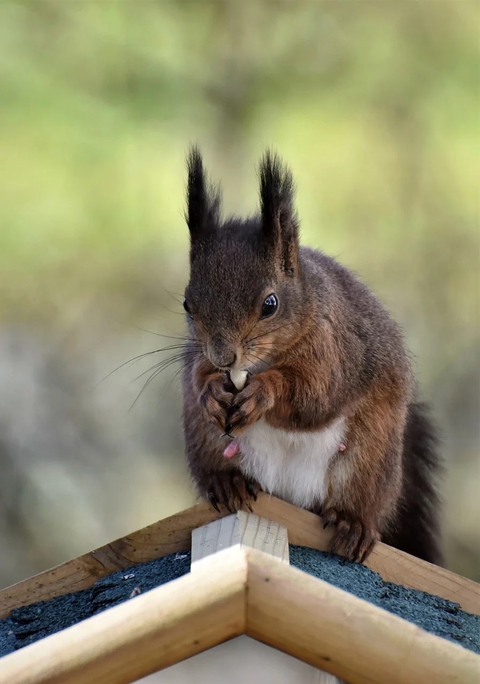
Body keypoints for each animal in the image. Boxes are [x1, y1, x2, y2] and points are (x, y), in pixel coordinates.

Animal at [181, 147, 442, 564]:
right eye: (188, 305)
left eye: (270, 304)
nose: (225, 357)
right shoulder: (197, 356)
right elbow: (196, 378)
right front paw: (211, 393)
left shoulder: (335, 349)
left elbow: (314, 397)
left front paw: (264, 392)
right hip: (208, 442)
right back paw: (227, 482)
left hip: (368, 459)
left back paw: (354, 525)